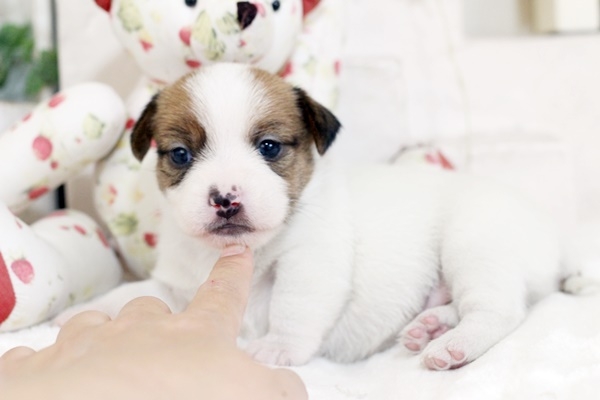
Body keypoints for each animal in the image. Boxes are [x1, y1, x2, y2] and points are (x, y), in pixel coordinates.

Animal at [57, 63, 580, 370]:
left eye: (269, 147)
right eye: (181, 155)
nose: (225, 198)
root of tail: (557, 244)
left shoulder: (310, 263)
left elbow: (292, 307)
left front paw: (277, 349)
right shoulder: (178, 287)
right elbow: (132, 294)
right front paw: (76, 313)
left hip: (475, 245)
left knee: (499, 310)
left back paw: (454, 345)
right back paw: (432, 324)